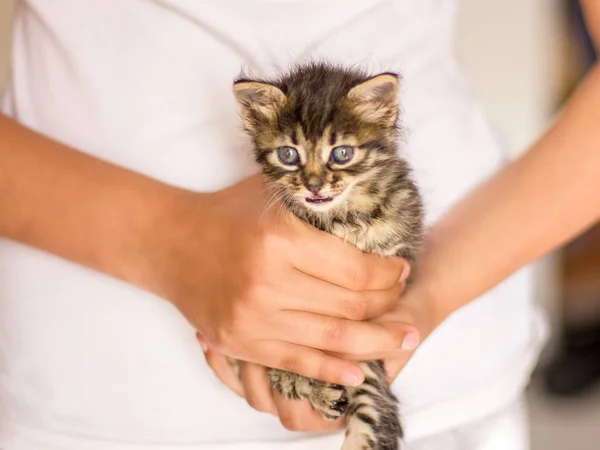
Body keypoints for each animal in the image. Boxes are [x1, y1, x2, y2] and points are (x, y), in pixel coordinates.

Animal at [232, 62, 424, 450]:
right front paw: (296, 377)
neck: (344, 218)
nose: (314, 185)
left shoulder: (401, 259)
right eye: (288, 155)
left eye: (342, 154)